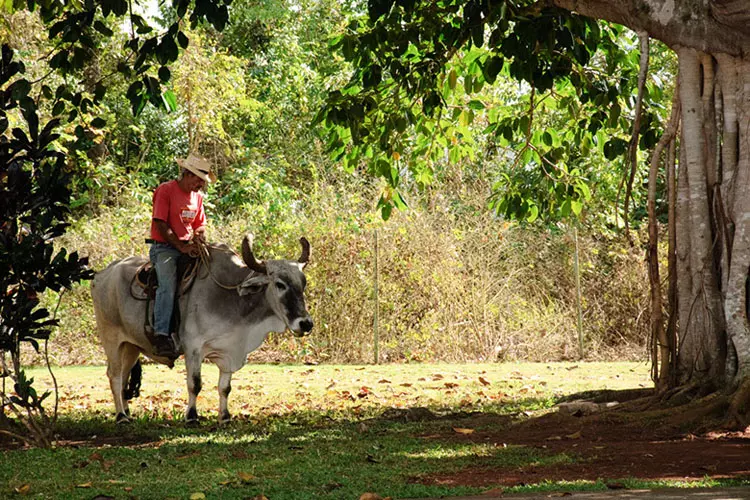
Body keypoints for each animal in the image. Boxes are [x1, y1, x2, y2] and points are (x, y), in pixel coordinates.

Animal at [92, 234, 312, 422]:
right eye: (279, 284)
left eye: (303, 283)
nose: (306, 324)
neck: (232, 298)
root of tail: (102, 274)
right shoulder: (193, 349)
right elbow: (195, 384)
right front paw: (191, 416)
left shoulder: (229, 351)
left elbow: (225, 387)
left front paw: (224, 416)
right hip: (111, 341)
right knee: (114, 376)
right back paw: (121, 416)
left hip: (130, 347)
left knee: (123, 378)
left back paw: (127, 412)